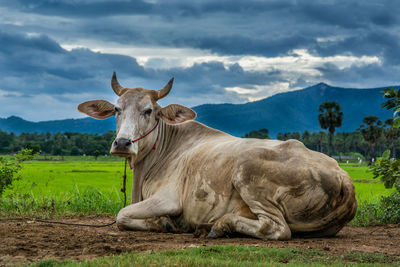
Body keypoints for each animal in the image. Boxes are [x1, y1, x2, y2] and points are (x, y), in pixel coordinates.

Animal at [77, 73, 356, 241]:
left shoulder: (168, 200)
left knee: (276, 229)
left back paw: (220, 225)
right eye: (117, 109)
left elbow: (122, 215)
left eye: (148, 111)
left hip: (247, 171)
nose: (123, 143)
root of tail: (344, 178)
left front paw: (164, 223)